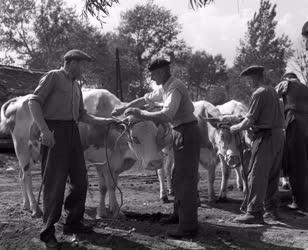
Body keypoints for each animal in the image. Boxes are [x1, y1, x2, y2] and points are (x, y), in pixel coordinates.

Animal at [0, 89, 171, 218]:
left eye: (156, 135)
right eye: (135, 138)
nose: (156, 162)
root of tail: (19, 99)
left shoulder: (112, 163)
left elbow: (110, 186)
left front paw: (110, 209)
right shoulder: (101, 160)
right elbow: (106, 186)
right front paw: (108, 211)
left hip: (28, 153)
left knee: (21, 177)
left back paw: (26, 205)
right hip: (22, 148)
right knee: (27, 178)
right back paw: (36, 208)